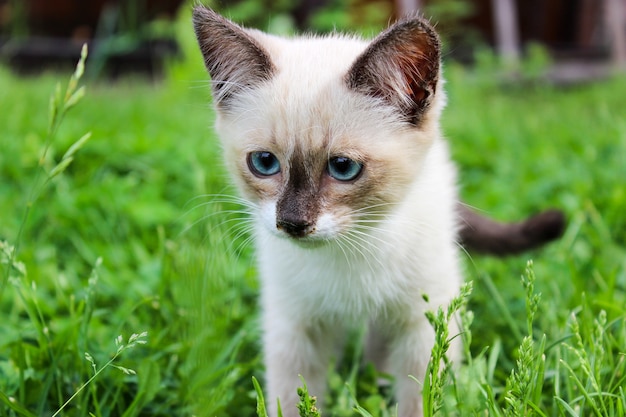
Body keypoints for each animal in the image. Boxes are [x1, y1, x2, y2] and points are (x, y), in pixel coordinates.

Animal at [191, 5, 560, 412]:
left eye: (343, 168)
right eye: (264, 163)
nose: (292, 222)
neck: (349, 253)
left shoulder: (422, 324)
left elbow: (419, 399)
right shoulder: (294, 324)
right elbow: (292, 398)